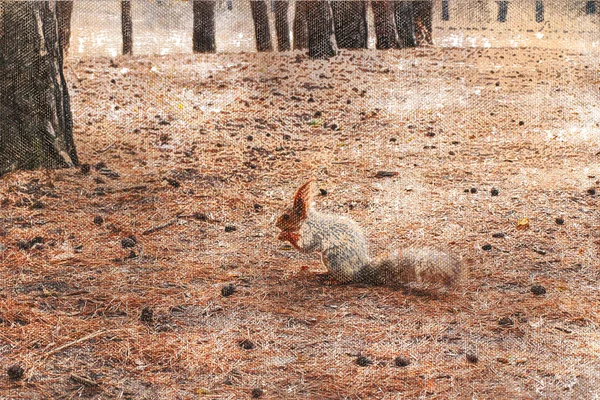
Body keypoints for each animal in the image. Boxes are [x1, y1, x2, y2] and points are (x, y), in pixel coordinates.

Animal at [276, 179, 464, 288]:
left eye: (286, 216)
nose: (277, 224)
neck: (308, 221)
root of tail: (362, 270)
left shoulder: (313, 232)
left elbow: (305, 247)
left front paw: (285, 236)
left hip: (334, 259)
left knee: (348, 279)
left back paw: (333, 280)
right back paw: (323, 273)